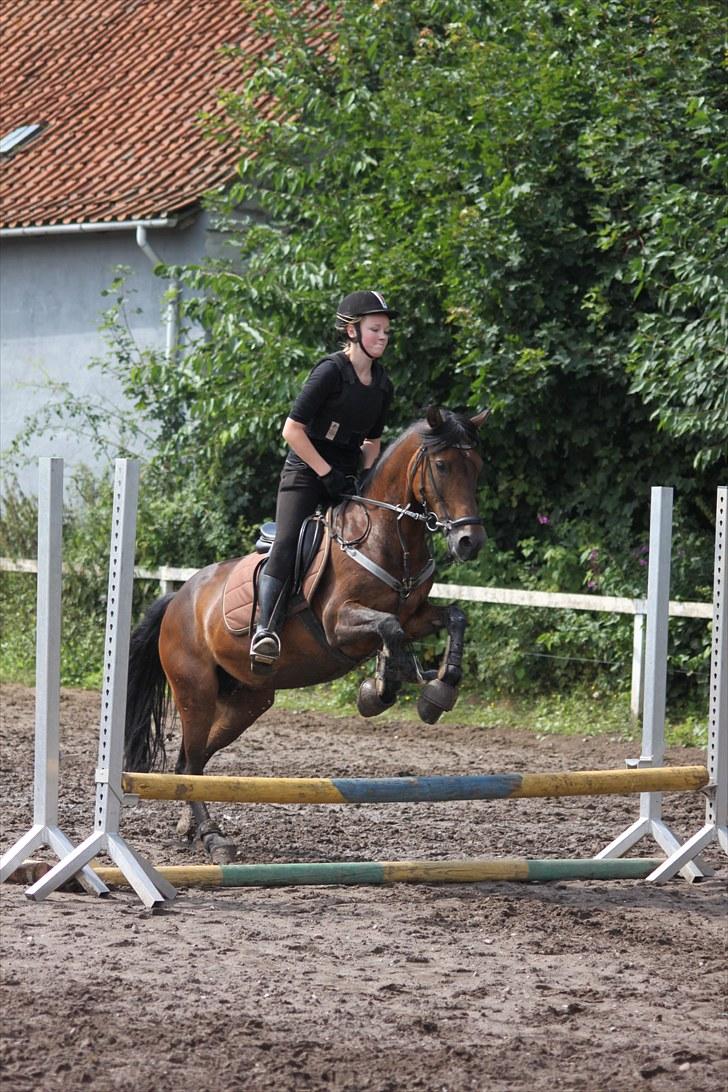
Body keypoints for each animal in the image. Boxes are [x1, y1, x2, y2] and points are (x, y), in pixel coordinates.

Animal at [125, 404, 488, 860]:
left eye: (476, 467)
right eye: (442, 465)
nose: (470, 542)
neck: (390, 537)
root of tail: (177, 599)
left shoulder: (417, 616)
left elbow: (454, 617)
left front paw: (438, 687)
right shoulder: (339, 625)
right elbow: (389, 630)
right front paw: (381, 689)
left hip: (246, 701)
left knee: (193, 762)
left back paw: (190, 827)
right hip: (195, 690)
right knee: (191, 761)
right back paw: (212, 837)